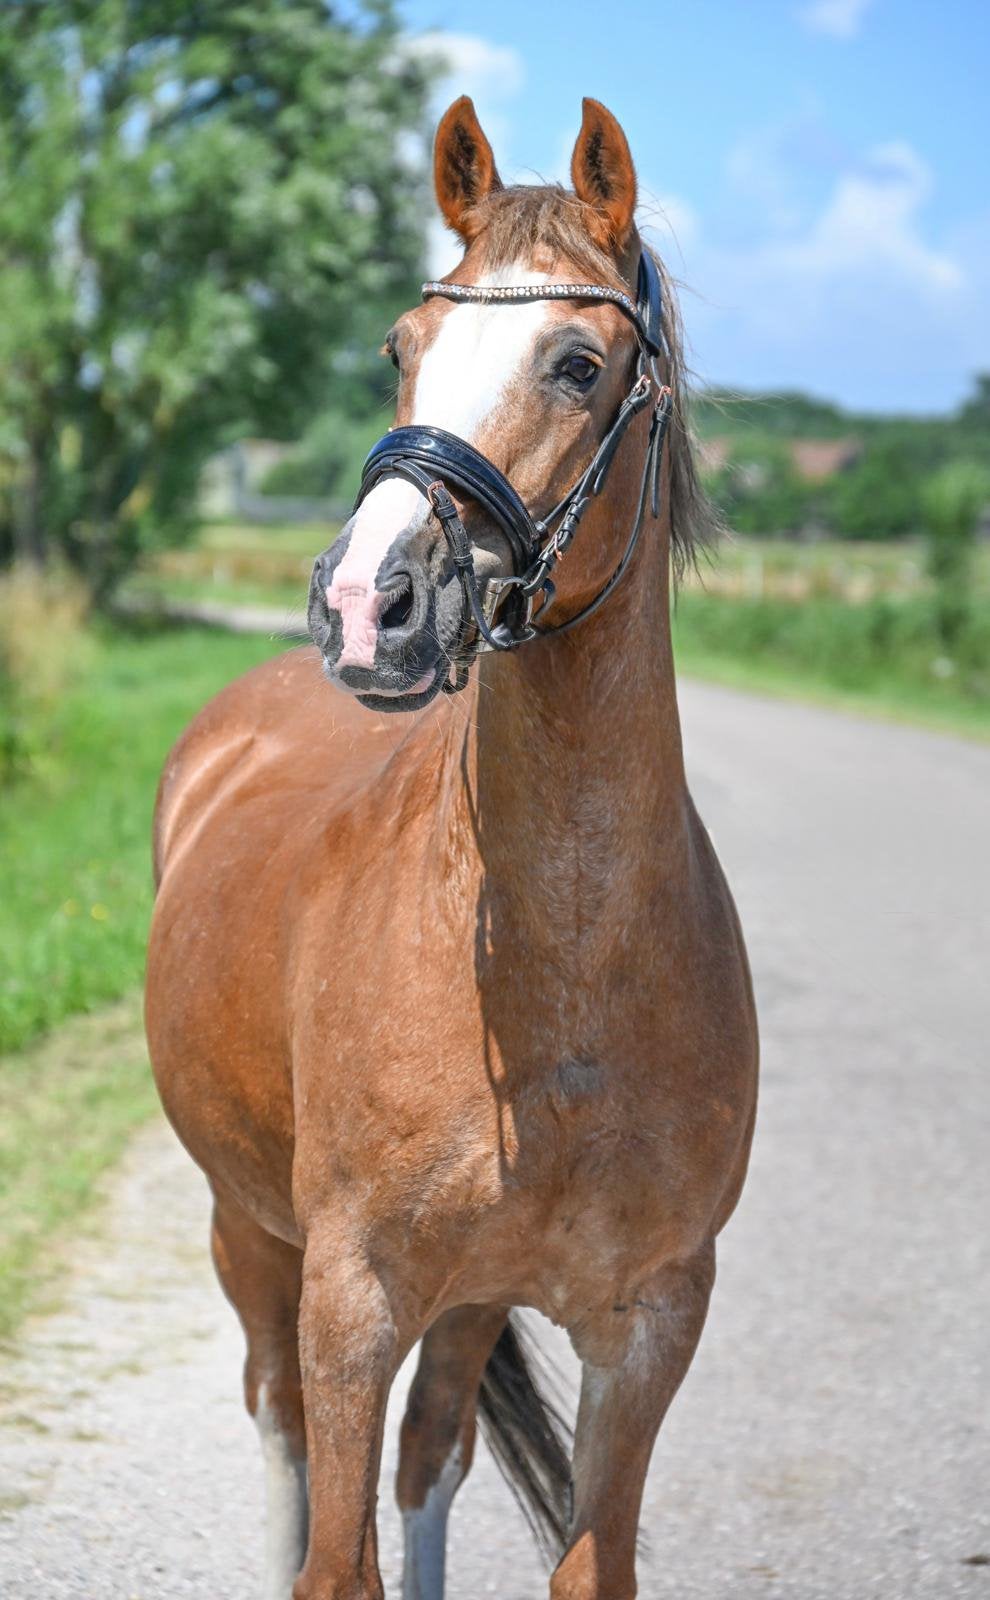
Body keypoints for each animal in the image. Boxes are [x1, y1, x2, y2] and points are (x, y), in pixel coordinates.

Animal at [146, 95, 758, 1600]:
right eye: (399, 349)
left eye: (578, 362)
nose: (367, 606)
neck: (560, 975)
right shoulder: (351, 1297)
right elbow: (333, 1556)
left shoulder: (650, 1322)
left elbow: (577, 1555)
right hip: (251, 1234)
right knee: (280, 1422)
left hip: (469, 1299)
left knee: (430, 1451)